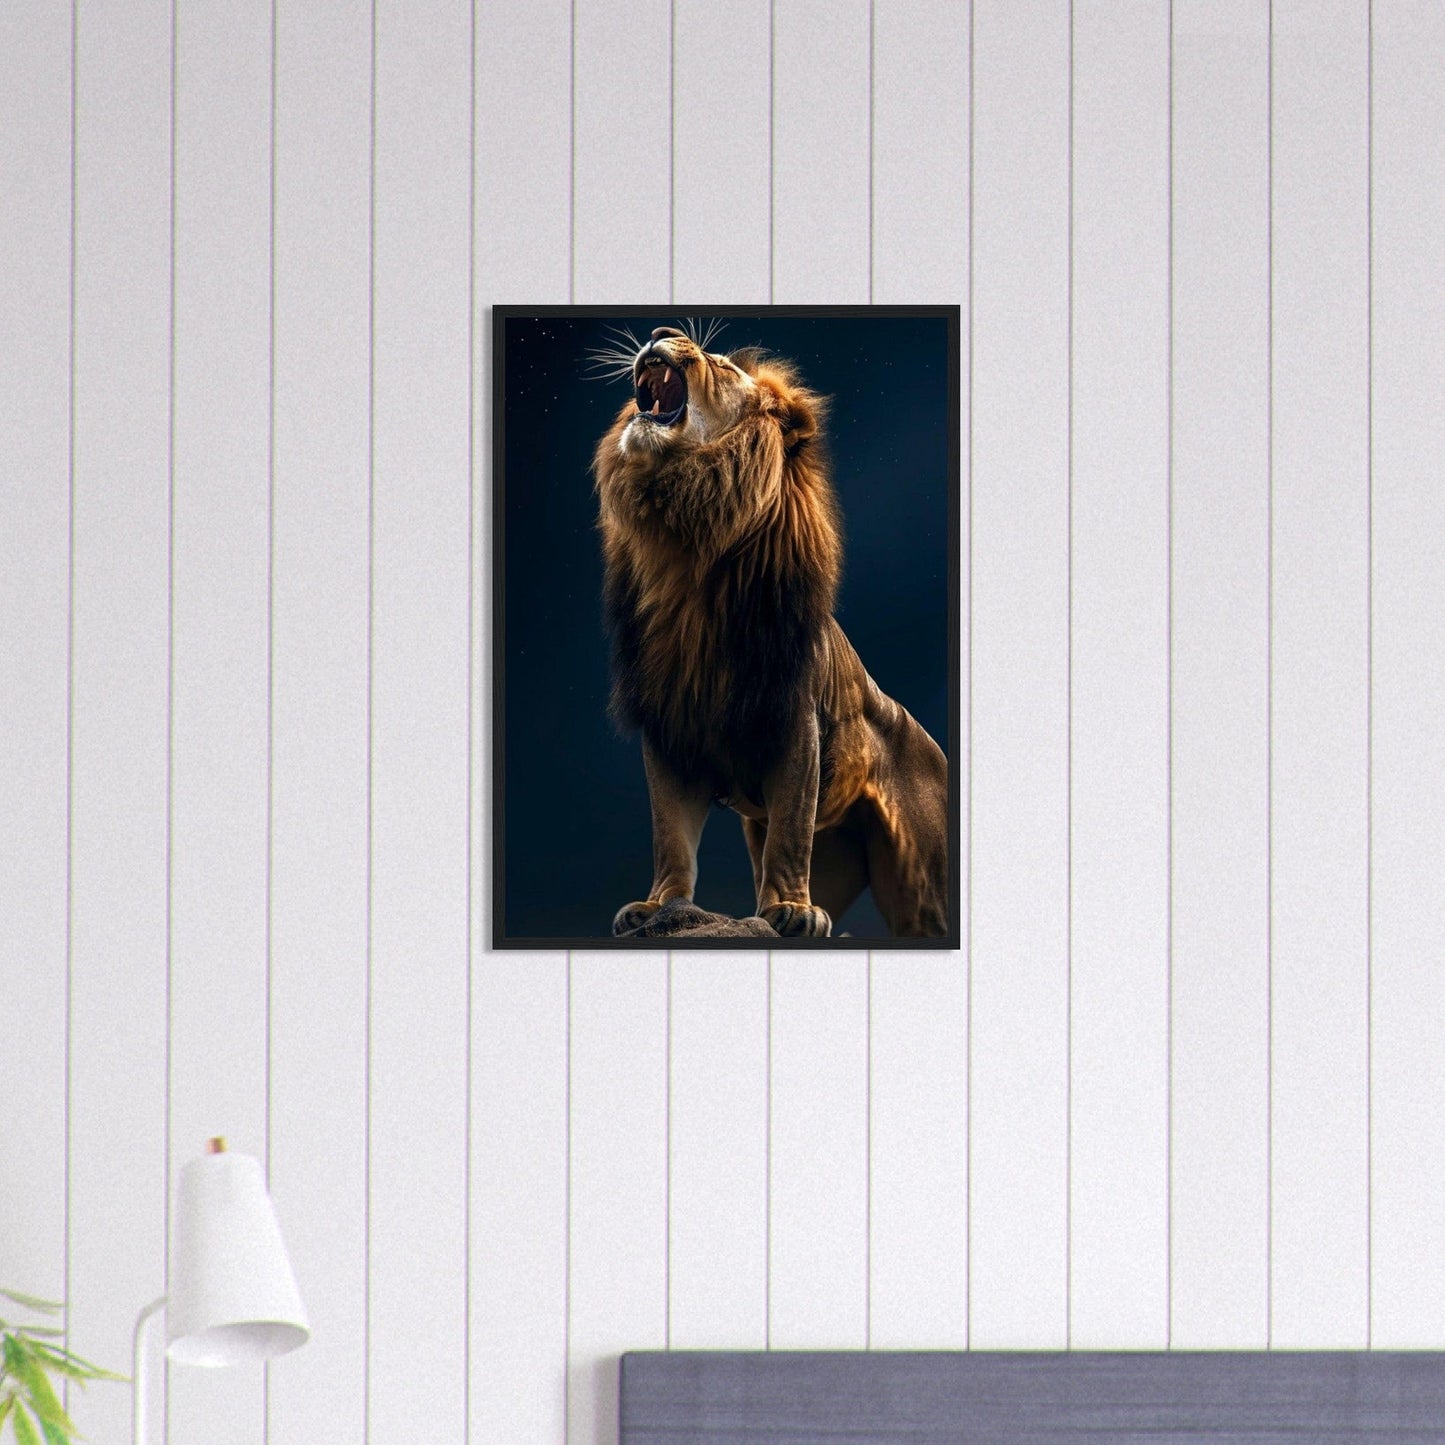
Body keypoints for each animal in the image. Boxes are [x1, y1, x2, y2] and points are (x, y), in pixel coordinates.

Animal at [592, 323, 949, 939]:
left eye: (721, 366)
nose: (662, 331)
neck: (684, 544)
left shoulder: (793, 720)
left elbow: (790, 828)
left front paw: (791, 910)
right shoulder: (668, 725)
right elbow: (670, 835)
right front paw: (660, 905)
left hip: (925, 887)